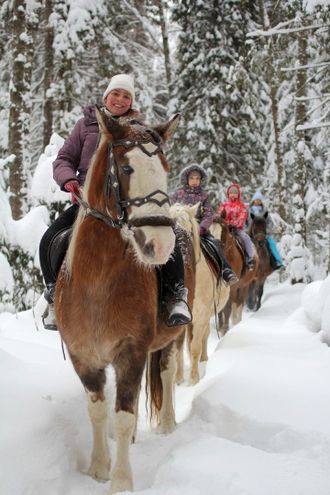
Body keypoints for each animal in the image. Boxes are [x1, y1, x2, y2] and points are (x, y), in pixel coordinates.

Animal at [54, 109, 195, 495]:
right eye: (127, 168)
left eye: (165, 166)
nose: (160, 245)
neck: (99, 283)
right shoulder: (84, 356)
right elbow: (99, 411)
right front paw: (98, 467)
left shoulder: (131, 352)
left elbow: (123, 415)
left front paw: (120, 481)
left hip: (172, 337)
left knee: (167, 372)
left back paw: (167, 424)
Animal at [170, 203, 229, 386]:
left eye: (189, 231)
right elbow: (178, 349)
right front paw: (178, 379)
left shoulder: (202, 315)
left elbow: (195, 346)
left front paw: (194, 380)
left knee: (203, 337)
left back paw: (203, 361)